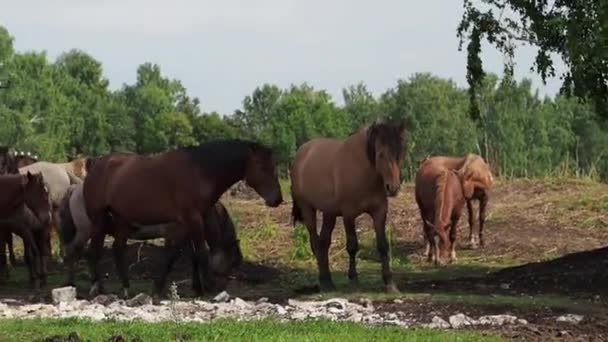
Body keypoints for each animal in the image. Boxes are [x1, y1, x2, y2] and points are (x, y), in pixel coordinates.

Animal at [57, 182, 242, 296]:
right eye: (233, 261)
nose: (223, 287)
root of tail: (75, 188)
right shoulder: (177, 234)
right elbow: (171, 257)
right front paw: (159, 288)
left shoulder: (186, 235)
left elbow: (193, 258)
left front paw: (197, 288)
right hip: (87, 231)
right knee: (75, 252)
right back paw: (77, 285)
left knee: (87, 254)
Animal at [82, 139, 284, 300]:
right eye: (264, 168)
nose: (277, 199)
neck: (199, 172)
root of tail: (95, 163)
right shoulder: (193, 220)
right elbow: (201, 252)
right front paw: (208, 286)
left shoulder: (183, 226)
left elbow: (174, 256)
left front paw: (161, 288)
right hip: (99, 220)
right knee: (94, 252)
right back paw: (95, 288)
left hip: (122, 222)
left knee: (117, 251)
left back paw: (125, 289)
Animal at [290, 117, 406, 292]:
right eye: (380, 154)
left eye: (400, 154)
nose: (392, 188)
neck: (364, 170)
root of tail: (301, 153)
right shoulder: (348, 214)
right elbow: (352, 245)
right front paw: (353, 280)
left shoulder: (379, 212)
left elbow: (383, 245)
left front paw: (389, 282)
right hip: (308, 209)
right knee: (316, 242)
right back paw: (324, 281)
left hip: (329, 213)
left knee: (324, 243)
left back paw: (328, 281)